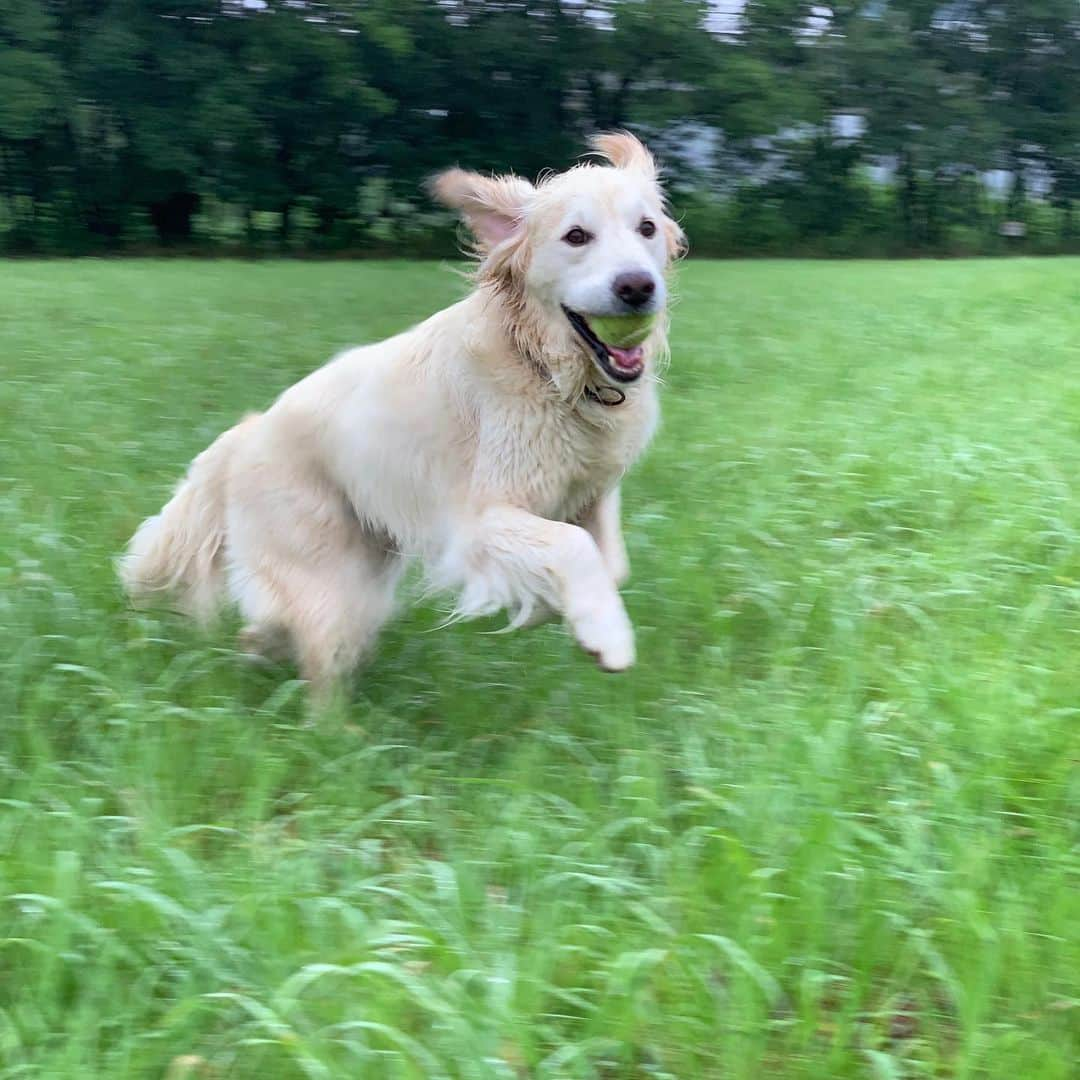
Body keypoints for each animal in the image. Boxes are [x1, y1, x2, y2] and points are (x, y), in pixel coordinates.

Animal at [120, 130, 682, 699]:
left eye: (647, 228)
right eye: (576, 236)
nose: (637, 287)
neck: (547, 369)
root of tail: (245, 435)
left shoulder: (590, 491)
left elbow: (613, 563)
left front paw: (557, 609)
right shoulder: (477, 521)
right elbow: (574, 547)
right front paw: (607, 637)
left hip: (362, 574)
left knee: (273, 631)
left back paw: (263, 654)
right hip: (328, 582)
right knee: (315, 663)